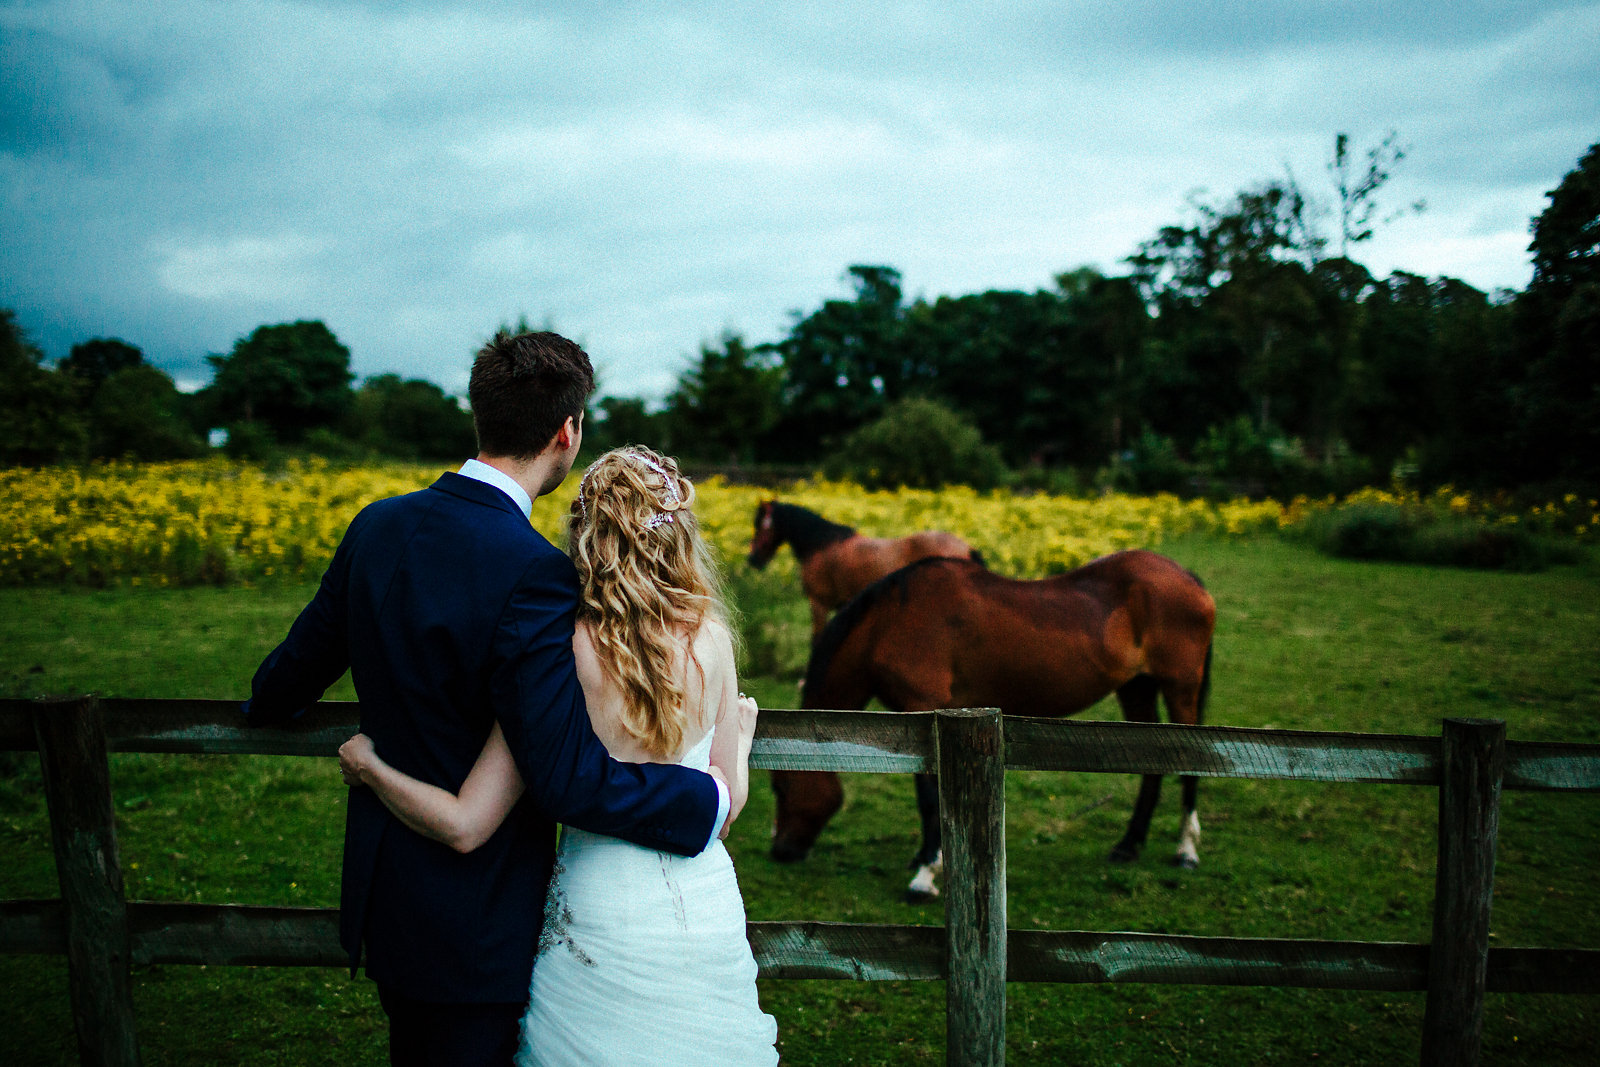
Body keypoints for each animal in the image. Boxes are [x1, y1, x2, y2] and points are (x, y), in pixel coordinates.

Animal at [771, 547, 1209, 895]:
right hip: (1137, 688)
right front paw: (928, 857)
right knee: (1153, 765)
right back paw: (1129, 845)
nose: (780, 852)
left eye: (781, 787)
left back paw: (1186, 851)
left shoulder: (923, 708)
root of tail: (1186, 576)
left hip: (1180, 688)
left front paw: (926, 875)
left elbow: (928, 796)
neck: (888, 621)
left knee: (1191, 762)